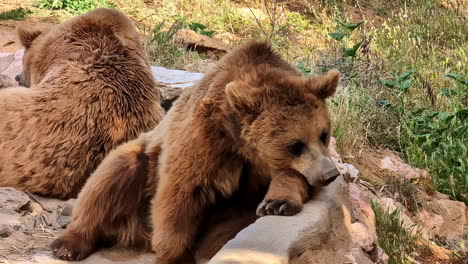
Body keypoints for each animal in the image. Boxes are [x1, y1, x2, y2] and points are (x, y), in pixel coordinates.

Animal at [50, 40, 340, 262]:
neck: (242, 145)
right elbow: (180, 192)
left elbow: (290, 180)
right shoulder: (204, 139)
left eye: (323, 134)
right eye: (295, 144)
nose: (330, 174)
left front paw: (277, 203)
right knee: (110, 179)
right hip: (140, 160)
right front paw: (174, 255)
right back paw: (68, 244)